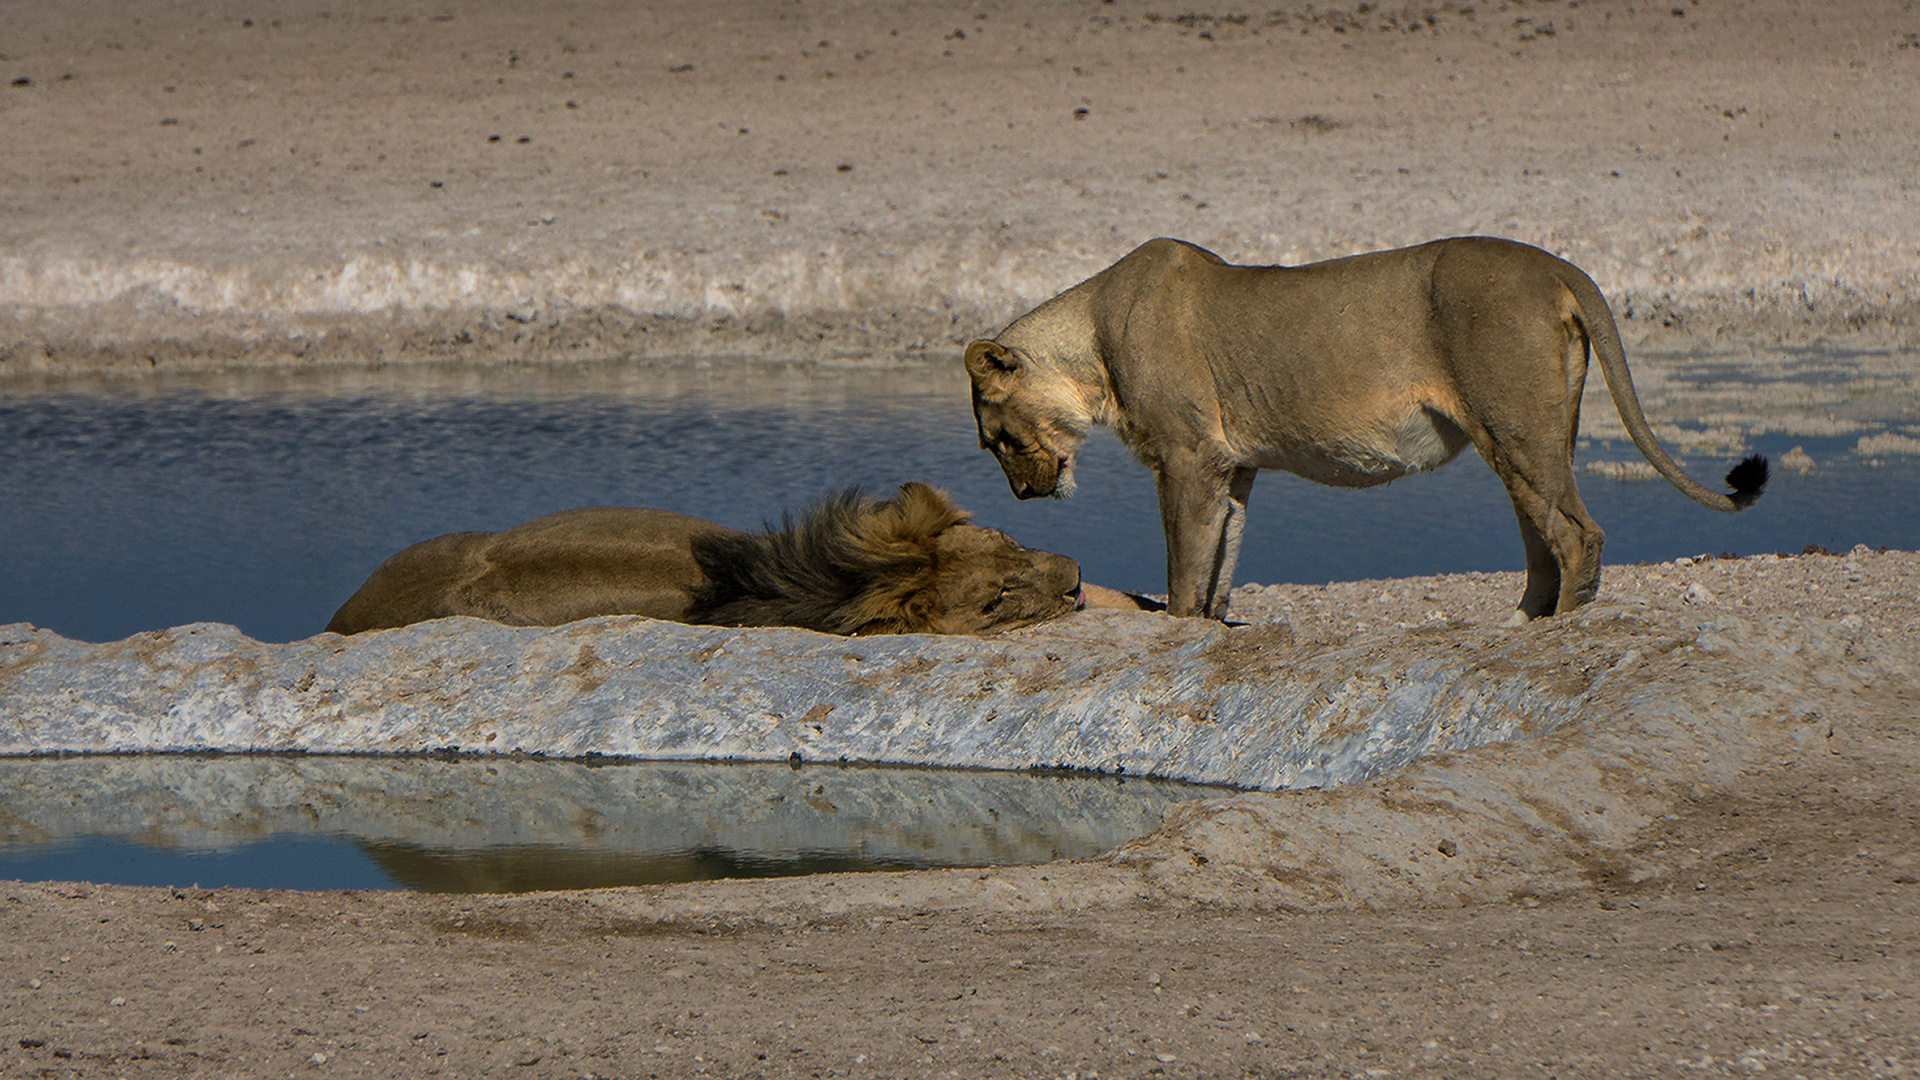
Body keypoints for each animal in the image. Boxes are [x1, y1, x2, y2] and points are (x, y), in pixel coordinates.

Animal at [967, 235, 1758, 622]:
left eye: (995, 439)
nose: (1022, 496)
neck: (1093, 340)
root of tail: (1557, 266)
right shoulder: (1231, 466)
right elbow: (1223, 560)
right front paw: (1212, 628)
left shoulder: (1187, 458)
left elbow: (1184, 570)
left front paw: (1177, 629)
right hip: (1529, 436)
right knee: (1543, 535)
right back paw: (1522, 623)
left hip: (1516, 425)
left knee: (1575, 533)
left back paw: (1561, 628)